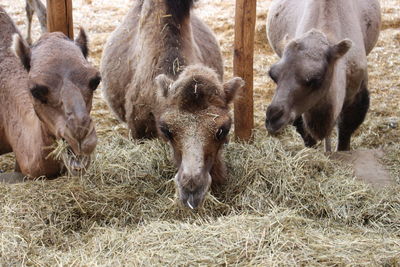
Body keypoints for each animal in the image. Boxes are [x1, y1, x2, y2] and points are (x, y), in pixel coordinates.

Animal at [266, 0, 382, 152]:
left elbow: (345, 131)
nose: (272, 118)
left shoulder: (356, 92)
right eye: (273, 75)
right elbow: (302, 128)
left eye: (315, 79)